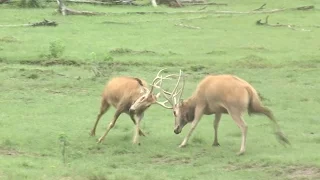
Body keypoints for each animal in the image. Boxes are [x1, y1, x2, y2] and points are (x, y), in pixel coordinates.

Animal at [154, 69, 292, 155]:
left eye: (174, 112)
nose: (176, 129)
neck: (195, 98)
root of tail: (248, 88)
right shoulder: (218, 110)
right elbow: (215, 124)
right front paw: (215, 142)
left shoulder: (201, 105)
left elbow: (194, 124)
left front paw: (182, 144)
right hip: (254, 105)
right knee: (269, 111)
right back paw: (283, 139)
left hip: (234, 109)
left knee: (244, 126)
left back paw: (241, 150)